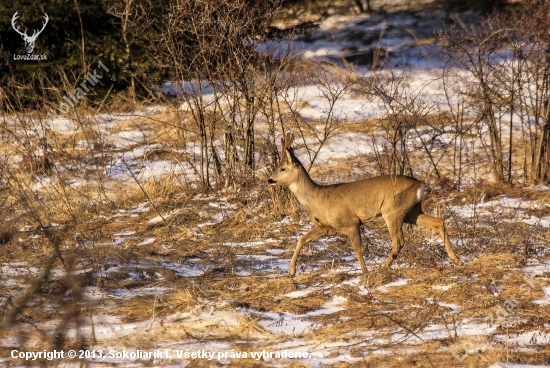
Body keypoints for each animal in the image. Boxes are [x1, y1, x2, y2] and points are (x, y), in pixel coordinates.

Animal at [270, 132, 464, 278]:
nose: (270, 180)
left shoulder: (351, 222)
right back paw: (457, 260)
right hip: (412, 211)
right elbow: (302, 239)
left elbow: (357, 249)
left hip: (392, 210)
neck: (318, 198)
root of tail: (420, 185)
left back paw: (382, 268)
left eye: (282, 168)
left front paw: (365, 272)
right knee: (438, 222)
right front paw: (291, 271)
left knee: (399, 241)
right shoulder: (325, 227)